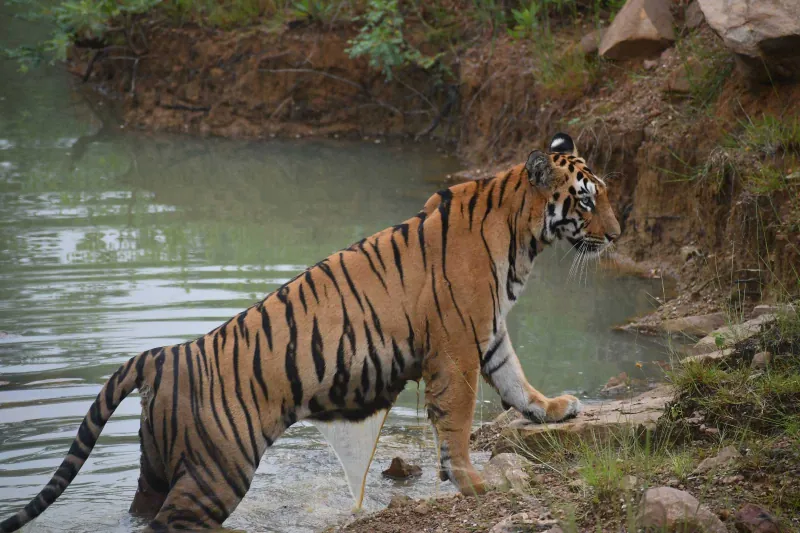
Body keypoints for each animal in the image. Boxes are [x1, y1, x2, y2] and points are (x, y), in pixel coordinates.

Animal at [0, 132, 620, 532]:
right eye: (586, 199)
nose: (617, 235)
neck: (522, 237)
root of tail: (164, 354)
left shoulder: (487, 335)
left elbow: (516, 381)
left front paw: (554, 408)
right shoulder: (457, 347)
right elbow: (460, 423)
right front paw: (473, 485)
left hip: (153, 470)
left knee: (143, 512)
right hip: (216, 470)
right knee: (176, 523)